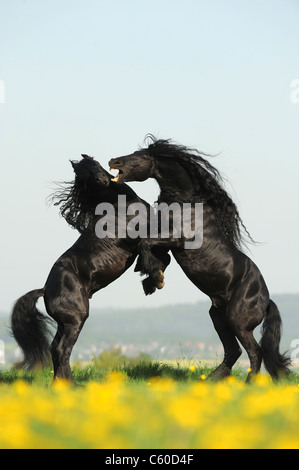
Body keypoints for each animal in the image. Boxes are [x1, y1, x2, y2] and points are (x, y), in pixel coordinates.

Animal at [10, 155, 170, 382]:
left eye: (96, 165)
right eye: (83, 174)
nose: (102, 180)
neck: (119, 206)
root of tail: (45, 289)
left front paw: (151, 280)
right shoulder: (143, 235)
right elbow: (155, 254)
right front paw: (155, 278)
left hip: (65, 323)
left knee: (56, 349)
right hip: (76, 320)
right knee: (61, 349)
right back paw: (69, 384)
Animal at [109, 136, 292, 382]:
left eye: (143, 157)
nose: (113, 161)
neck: (187, 203)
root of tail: (266, 300)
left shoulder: (176, 239)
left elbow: (146, 243)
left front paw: (155, 279)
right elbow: (148, 247)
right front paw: (150, 277)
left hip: (238, 320)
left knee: (254, 352)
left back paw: (247, 384)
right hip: (218, 315)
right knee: (233, 351)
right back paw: (213, 379)